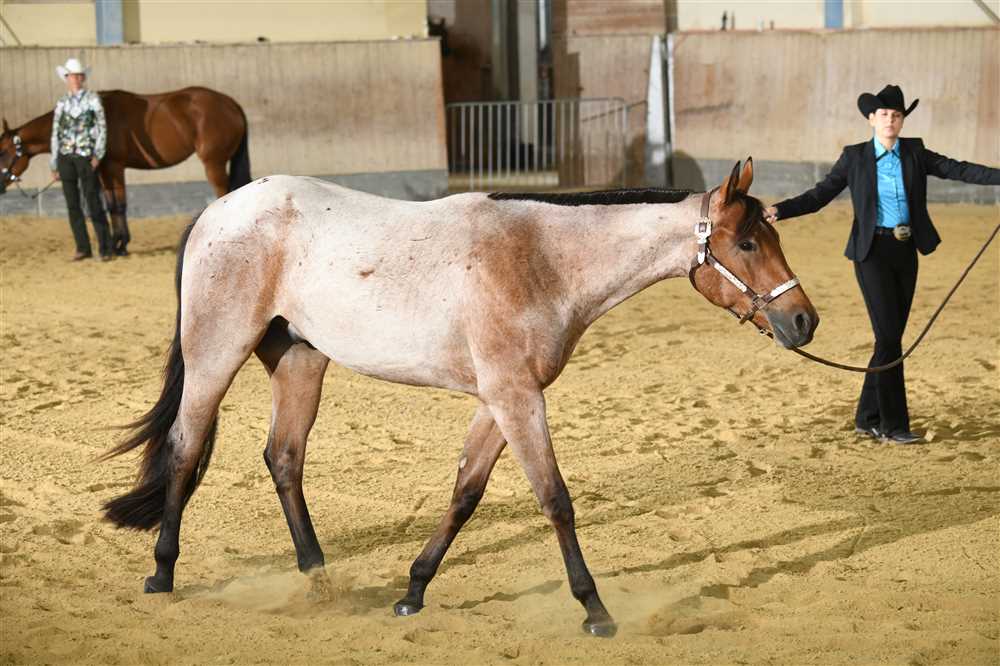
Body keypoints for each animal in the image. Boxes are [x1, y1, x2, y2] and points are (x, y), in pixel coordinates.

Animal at [0, 86, 250, 255]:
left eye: (2, 151)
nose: (1, 185)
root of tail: (231, 103)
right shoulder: (104, 170)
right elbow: (112, 204)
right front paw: (119, 245)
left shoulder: (114, 166)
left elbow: (118, 205)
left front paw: (117, 246)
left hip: (213, 162)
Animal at [101, 158, 818, 637]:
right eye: (746, 242)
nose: (804, 321)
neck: (540, 259)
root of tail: (218, 211)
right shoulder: (517, 397)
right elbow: (556, 500)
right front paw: (594, 610)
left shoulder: (502, 399)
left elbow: (465, 493)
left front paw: (412, 592)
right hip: (216, 353)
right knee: (186, 446)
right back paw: (162, 574)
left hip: (300, 359)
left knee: (283, 457)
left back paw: (317, 576)